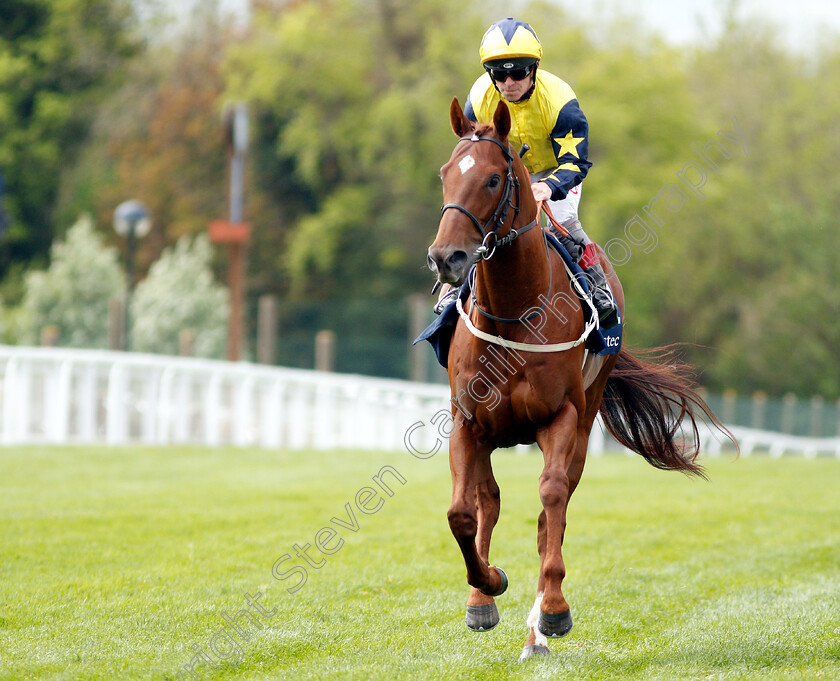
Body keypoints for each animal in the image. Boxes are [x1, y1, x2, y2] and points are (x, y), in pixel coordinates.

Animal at [426, 98, 736, 660]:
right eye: (445, 174)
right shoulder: (468, 421)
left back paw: (537, 632)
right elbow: (463, 512)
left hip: (587, 411)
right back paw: (486, 598)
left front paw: (552, 611)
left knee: (554, 507)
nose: (446, 257)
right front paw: (487, 587)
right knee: (489, 500)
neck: (514, 314)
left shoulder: (562, 415)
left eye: (492, 178)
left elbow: (551, 503)